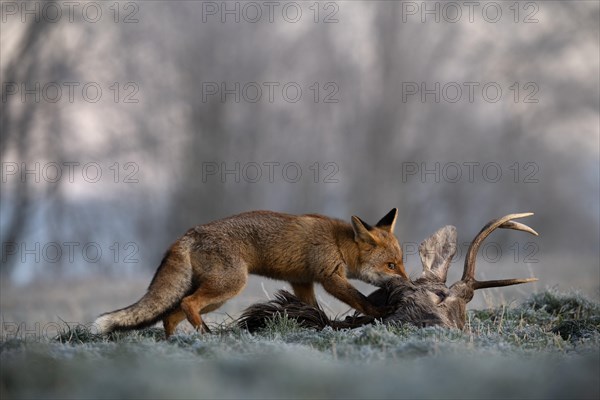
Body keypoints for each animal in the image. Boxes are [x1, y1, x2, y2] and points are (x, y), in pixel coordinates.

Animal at [95, 209, 408, 338]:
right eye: (391, 265)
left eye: (401, 262)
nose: (408, 283)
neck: (338, 244)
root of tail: (189, 233)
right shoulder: (330, 278)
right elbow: (361, 299)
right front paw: (381, 312)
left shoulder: (301, 281)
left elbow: (311, 307)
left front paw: (315, 323)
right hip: (229, 286)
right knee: (186, 303)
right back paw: (206, 336)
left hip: (218, 296)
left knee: (171, 314)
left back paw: (177, 343)